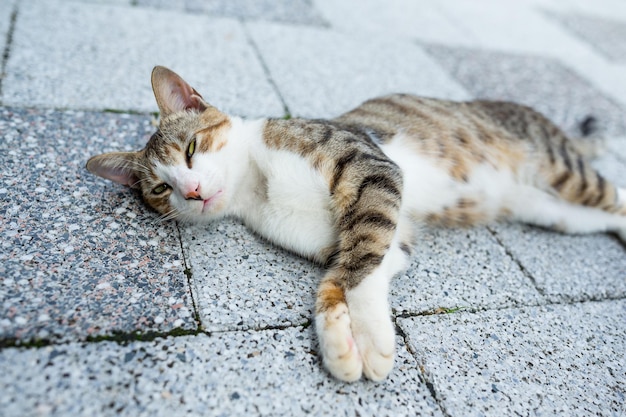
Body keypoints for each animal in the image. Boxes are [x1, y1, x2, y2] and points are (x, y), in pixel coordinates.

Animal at [86, 66, 624, 382]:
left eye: (192, 149)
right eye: (161, 189)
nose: (193, 191)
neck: (257, 184)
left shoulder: (371, 167)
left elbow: (362, 260)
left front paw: (368, 342)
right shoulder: (383, 237)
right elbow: (347, 272)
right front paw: (343, 341)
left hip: (560, 171)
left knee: (615, 197)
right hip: (552, 211)